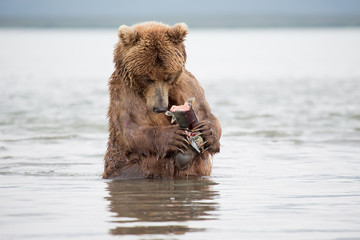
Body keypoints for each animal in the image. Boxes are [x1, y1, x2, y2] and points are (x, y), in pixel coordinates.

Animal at [102, 22, 221, 179]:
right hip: (127, 166)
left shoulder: (186, 84)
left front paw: (207, 132)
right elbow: (132, 127)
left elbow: (203, 111)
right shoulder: (124, 93)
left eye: (168, 77)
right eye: (147, 78)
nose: (160, 108)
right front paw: (174, 137)